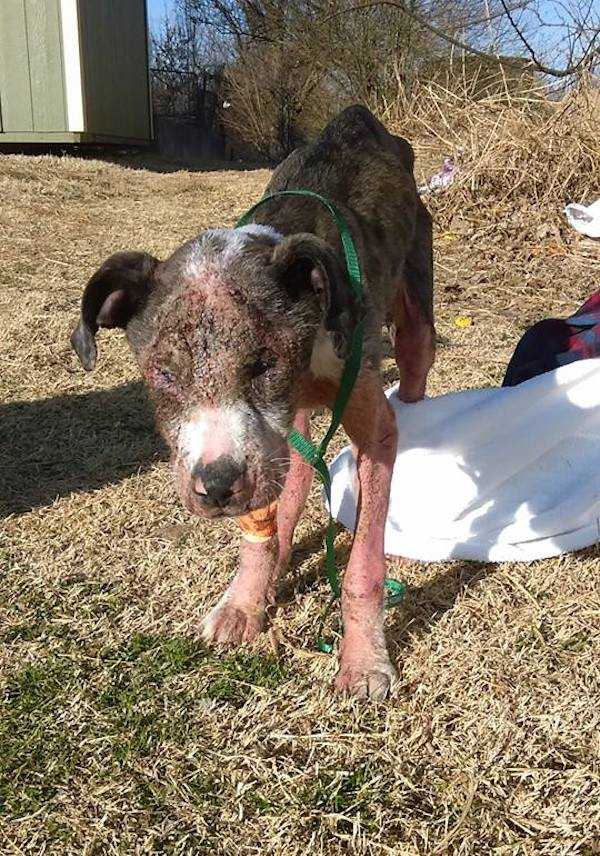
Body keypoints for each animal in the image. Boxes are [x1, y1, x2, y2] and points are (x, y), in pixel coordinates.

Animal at [71, 105, 436, 696]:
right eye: (164, 374)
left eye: (265, 364)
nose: (216, 489)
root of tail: (360, 120)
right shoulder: (259, 444)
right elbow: (262, 525)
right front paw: (246, 602)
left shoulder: (368, 430)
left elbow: (362, 565)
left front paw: (362, 660)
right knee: (298, 468)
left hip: (413, 316)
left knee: (413, 371)